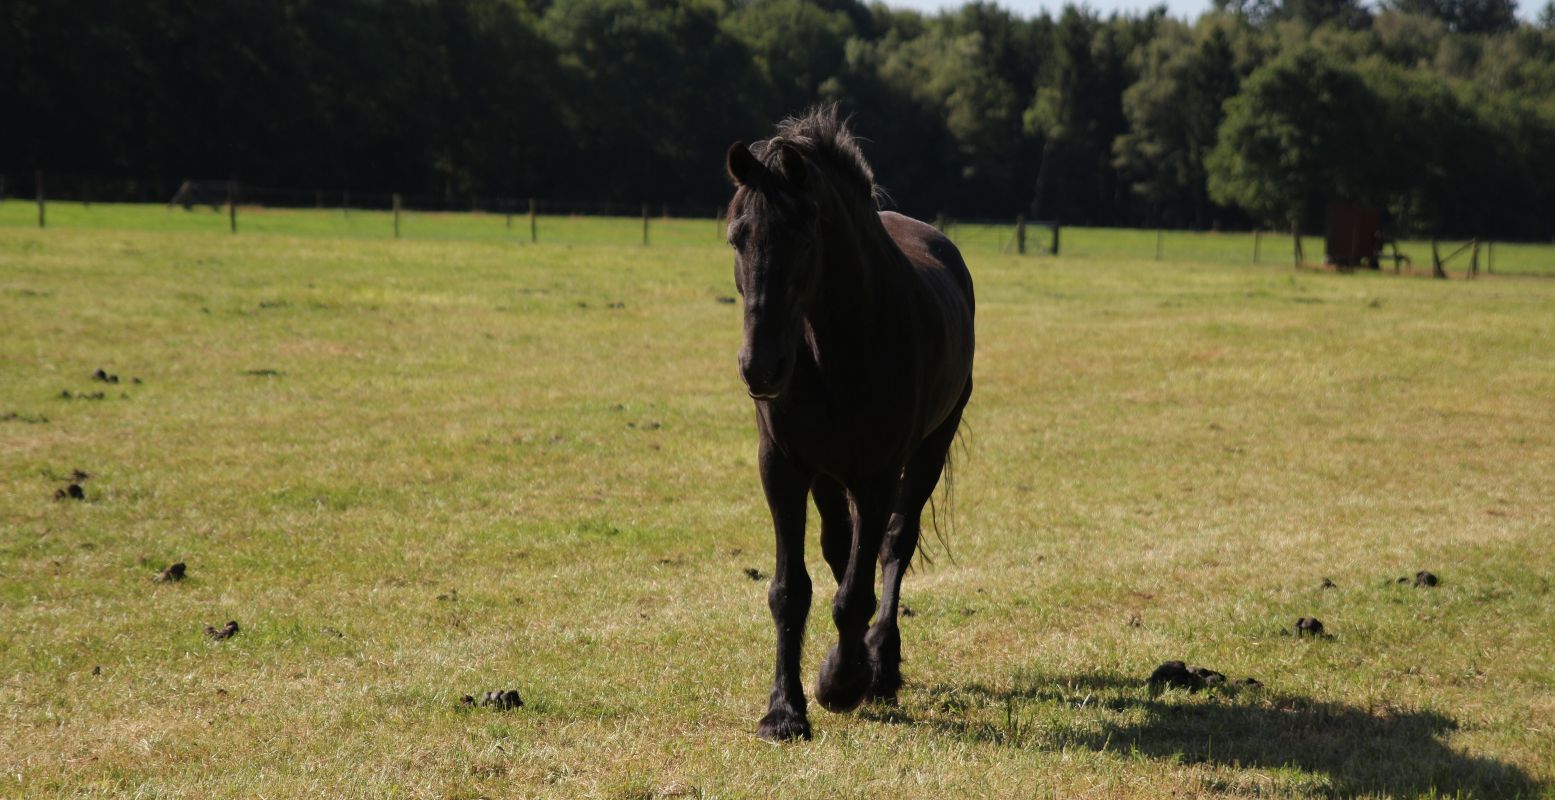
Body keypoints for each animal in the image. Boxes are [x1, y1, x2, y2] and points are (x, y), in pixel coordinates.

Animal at [724, 108, 970, 737]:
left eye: (805, 236)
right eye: (737, 237)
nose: (761, 367)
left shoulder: (878, 472)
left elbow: (859, 589)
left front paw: (841, 681)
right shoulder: (783, 465)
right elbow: (792, 589)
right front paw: (784, 710)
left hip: (929, 447)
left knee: (892, 546)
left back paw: (877, 664)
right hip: (829, 474)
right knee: (842, 548)